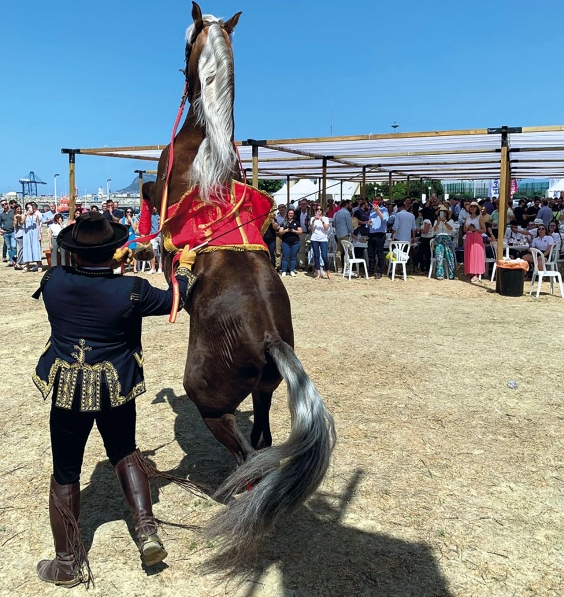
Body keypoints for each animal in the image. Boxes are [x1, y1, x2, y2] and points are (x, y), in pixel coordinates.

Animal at [152, 3, 334, 556]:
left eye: (186, 40)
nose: (181, 73)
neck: (205, 145)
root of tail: (270, 338)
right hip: (266, 392)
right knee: (262, 445)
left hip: (211, 401)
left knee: (244, 456)